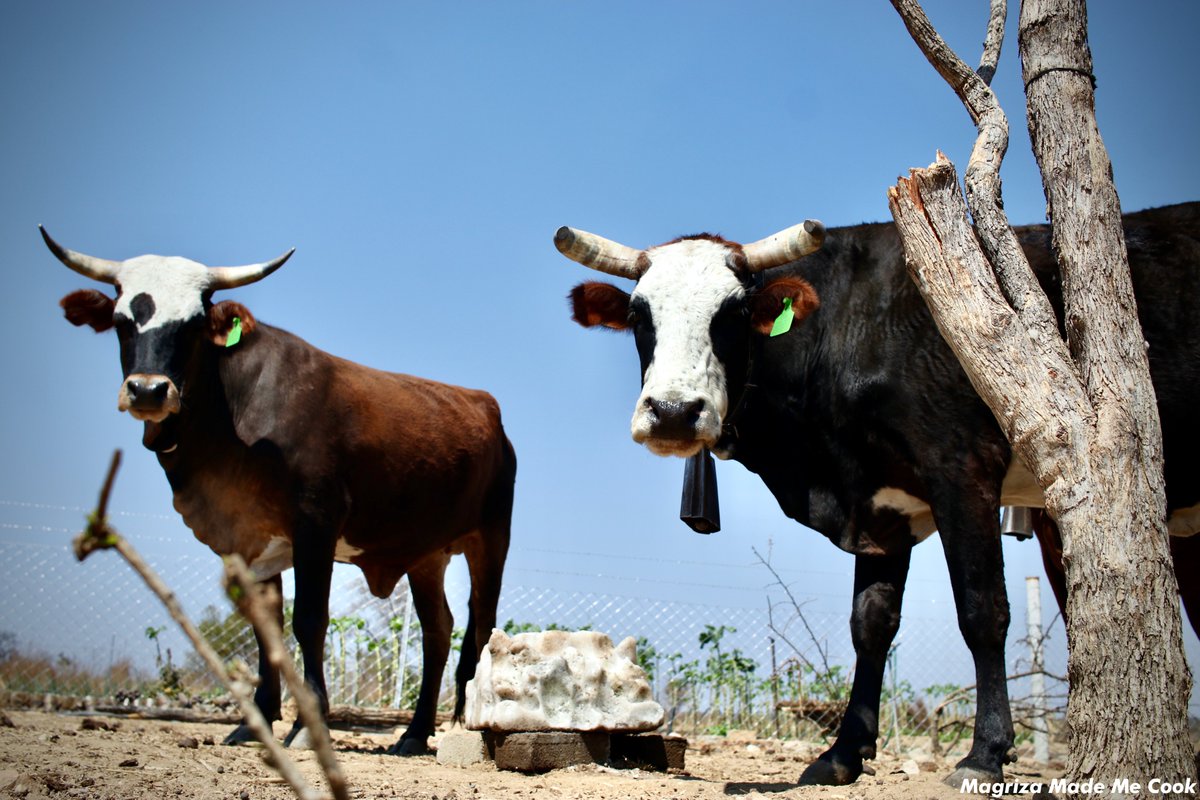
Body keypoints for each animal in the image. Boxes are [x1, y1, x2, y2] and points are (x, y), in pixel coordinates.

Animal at [44, 228, 517, 755]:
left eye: (193, 325)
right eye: (123, 322)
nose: (148, 390)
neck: (230, 419)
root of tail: (485, 406)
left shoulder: (315, 524)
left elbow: (309, 619)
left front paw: (308, 725)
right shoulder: (245, 539)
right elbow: (264, 625)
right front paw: (255, 721)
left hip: (489, 540)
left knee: (482, 623)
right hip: (425, 554)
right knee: (437, 630)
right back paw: (414, 734)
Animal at [554, 201, 1200, 786]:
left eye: (733, 313)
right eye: (639, 314)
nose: (671, 413)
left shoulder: (962, 468)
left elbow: (982, 610)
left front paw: (985, 753)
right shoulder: (882, 511)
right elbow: (870, 624)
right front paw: (842, 753)